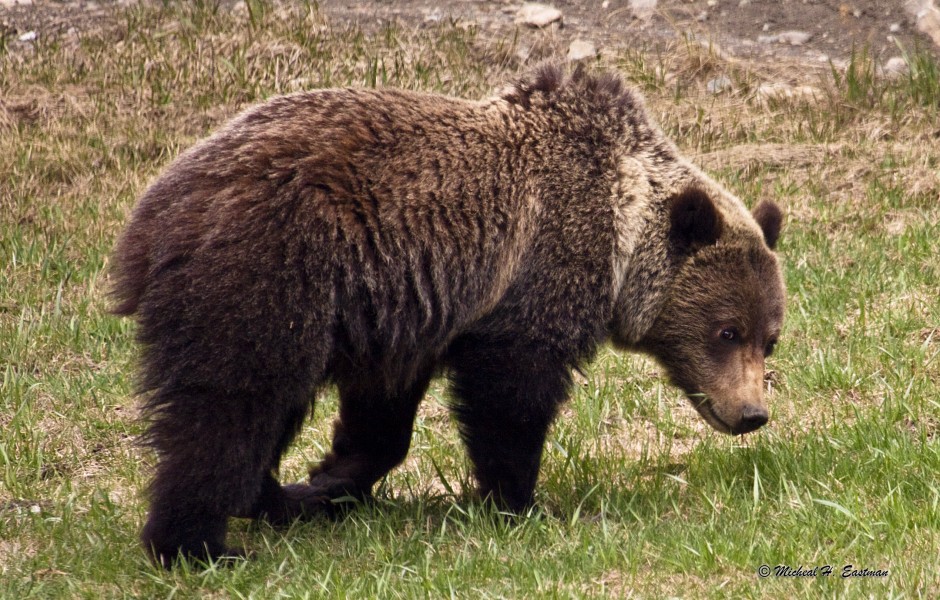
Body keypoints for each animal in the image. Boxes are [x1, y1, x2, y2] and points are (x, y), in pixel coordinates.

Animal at [110, 64, 784, 568]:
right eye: (727, 331)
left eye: (769, 339)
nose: (751, 413)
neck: (621, 229)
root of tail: (151, 218)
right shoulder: (530, 278)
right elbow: (510, 399)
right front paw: (521, 502)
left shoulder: (399, 306)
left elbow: (381, 414)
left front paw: (325, 483)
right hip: (267, 276)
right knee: (228, 409)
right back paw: (197, 545)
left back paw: (271, 498)